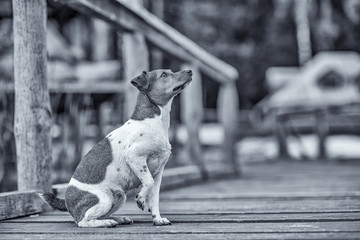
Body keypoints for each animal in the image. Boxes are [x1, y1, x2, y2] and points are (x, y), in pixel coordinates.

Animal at [40, 69, 193, 227]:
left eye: (170, 71)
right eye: (163, 75)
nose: (190, 71)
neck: (153, 121)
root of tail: (66, 201)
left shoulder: (158, 172)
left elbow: (154, 198)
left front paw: (157, 219)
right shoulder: (134, 156)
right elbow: (148, 183)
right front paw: (140, 199)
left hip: (120, 197)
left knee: (98, 216)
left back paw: (118, 219)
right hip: (104, 199)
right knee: (84, 221)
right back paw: (107, 222)